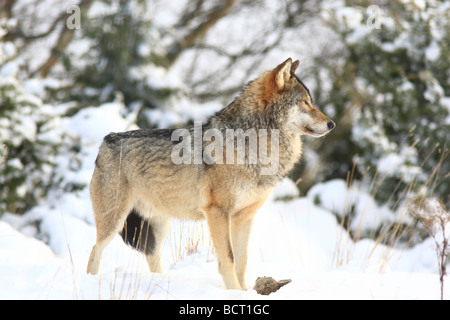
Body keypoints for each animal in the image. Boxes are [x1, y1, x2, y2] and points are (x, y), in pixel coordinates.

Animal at [87, 57, 334, 290]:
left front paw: (244, 291)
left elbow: (242, 261)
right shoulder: (218, 213)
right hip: (114, 222)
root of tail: (105, 141)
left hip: (159, 225)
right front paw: (234, 292)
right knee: (94, 251)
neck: (254, 145)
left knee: (151, 256)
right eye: (305, 102)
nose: (331, 124)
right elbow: (229, 259)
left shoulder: (244, 217)